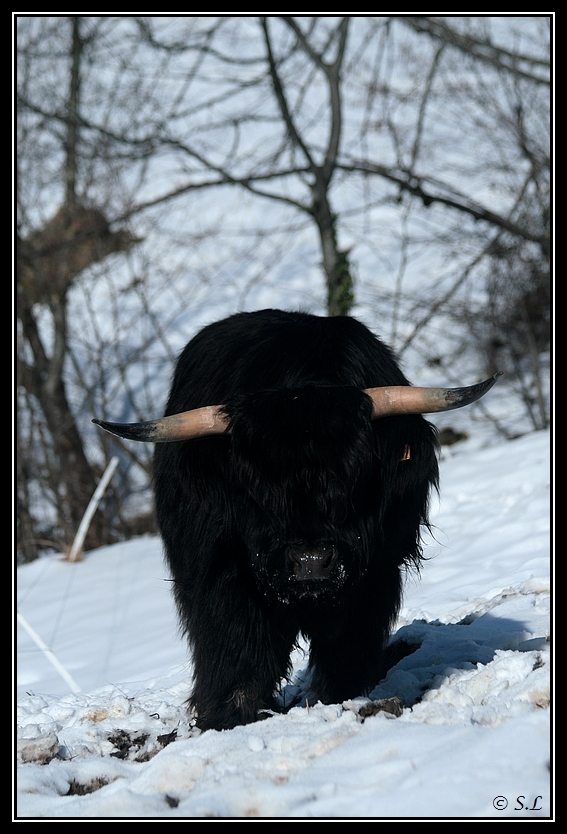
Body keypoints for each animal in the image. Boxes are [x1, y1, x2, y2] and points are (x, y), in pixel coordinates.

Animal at [94, 309, 500, 731]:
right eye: (256, 484)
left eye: (353, 472)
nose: (310, 562)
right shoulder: (220, 570)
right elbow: (238, 646)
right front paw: (227, 716)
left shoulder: (378, 566)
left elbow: (349, 643)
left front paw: (338, 696)